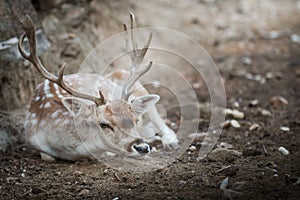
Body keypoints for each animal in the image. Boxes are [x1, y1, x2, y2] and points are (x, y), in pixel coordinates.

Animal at [18, 13, 178, 161]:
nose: (142, 147)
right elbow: (47, 157)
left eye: (135, 120)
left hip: (132, 82)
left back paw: (169, 141)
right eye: (104, 124)